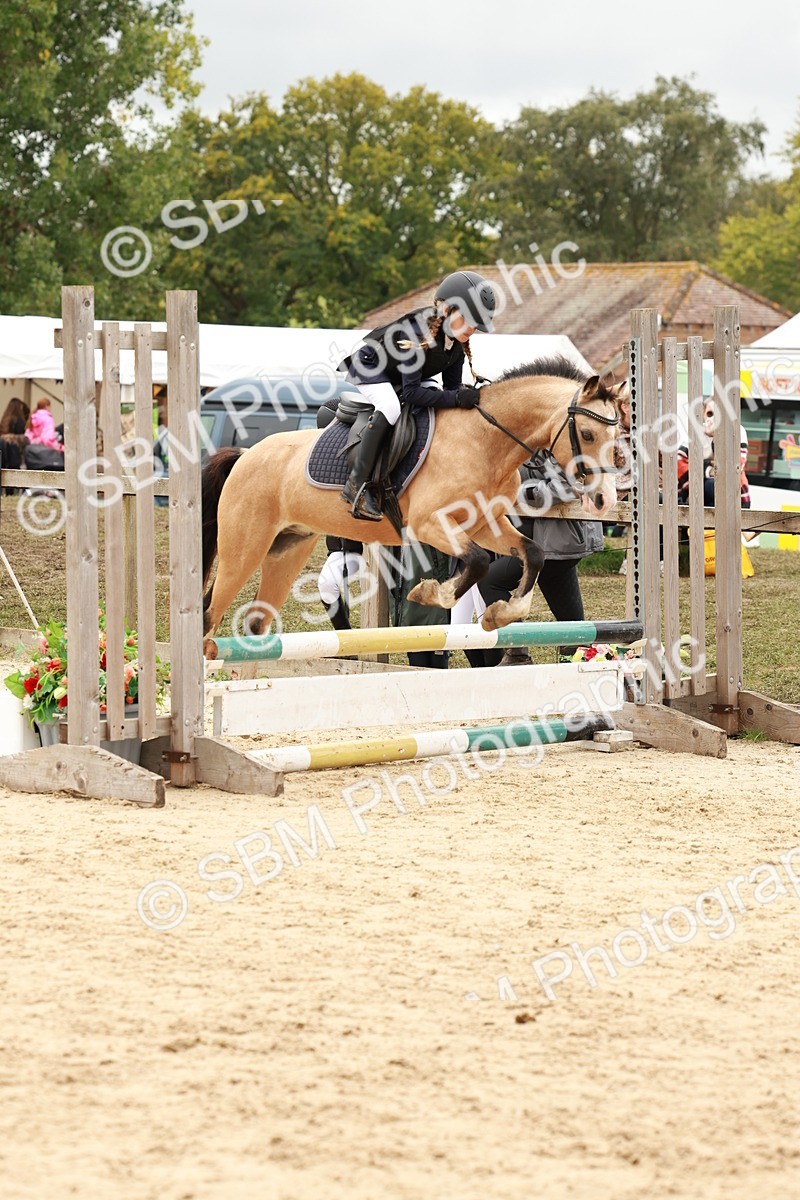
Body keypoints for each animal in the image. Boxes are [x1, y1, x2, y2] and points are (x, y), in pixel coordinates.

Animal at [201, 356, 627, 648]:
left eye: (618, 432)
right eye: (587, 434)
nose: (604, 499)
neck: (485, 441)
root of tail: (245, 454)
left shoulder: (484, 524)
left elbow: (533, 553)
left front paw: (499, 615)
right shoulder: (428, 524)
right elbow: (476, 562)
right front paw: (431, 593)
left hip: (286, 550)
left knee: (256, 623)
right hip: (245, 550)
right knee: (208, 615)